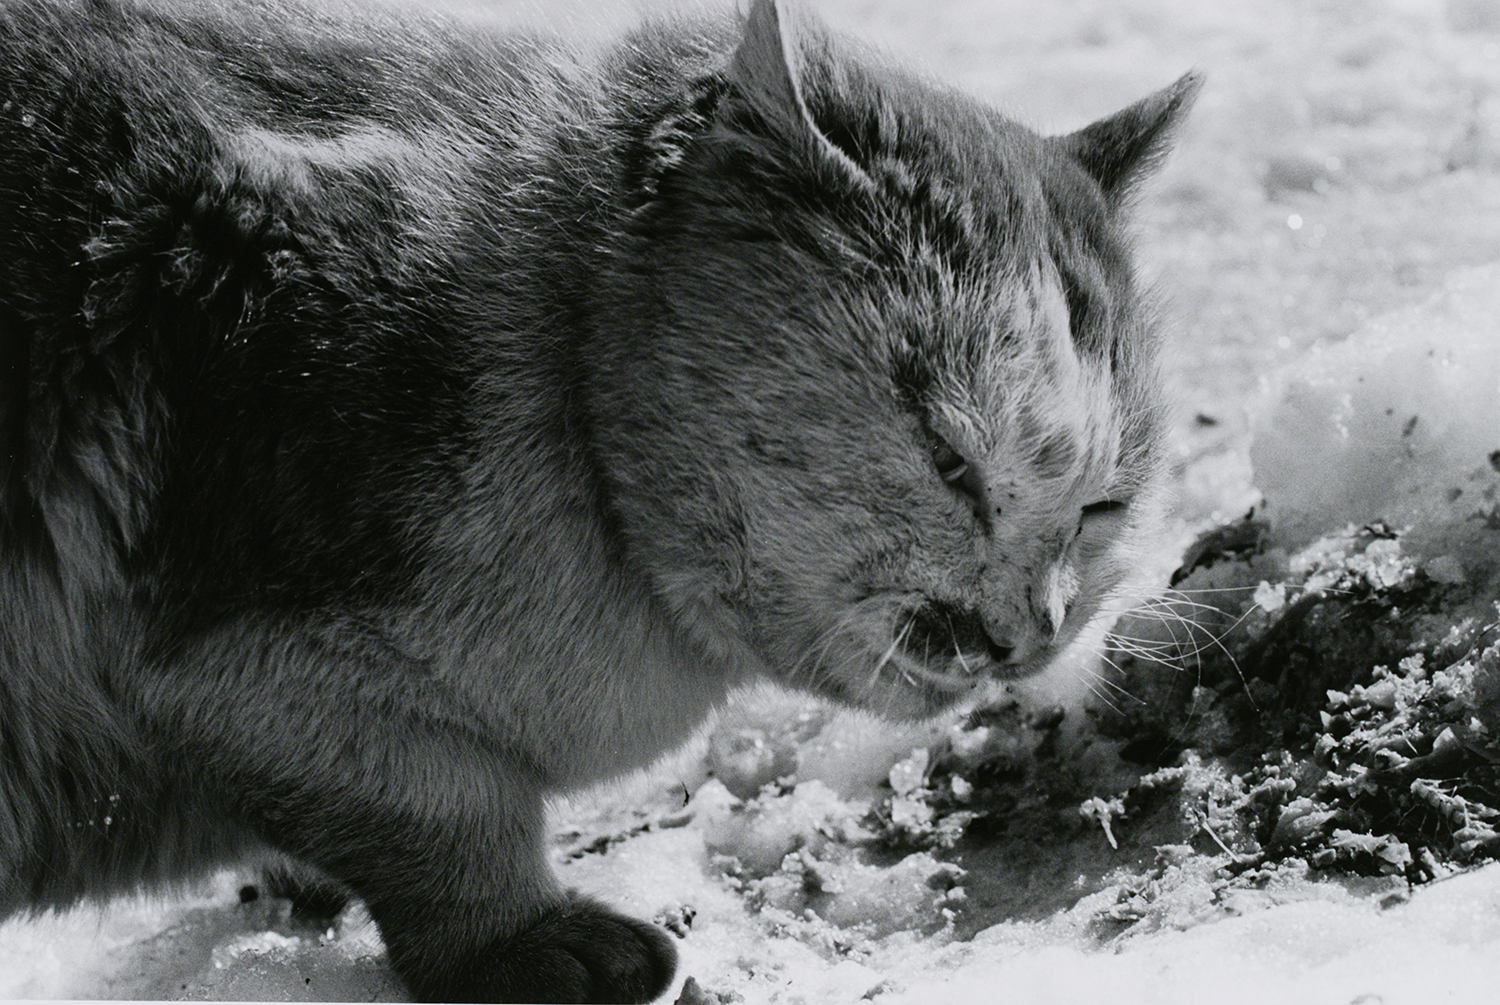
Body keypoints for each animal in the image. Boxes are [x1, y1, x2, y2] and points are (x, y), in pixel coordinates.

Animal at [0, 0, 1194, 1002]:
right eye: (949, 460)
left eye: (1103, 505)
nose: (1033, 628)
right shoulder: (244, 659)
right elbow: (443, 808)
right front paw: (531, 943)